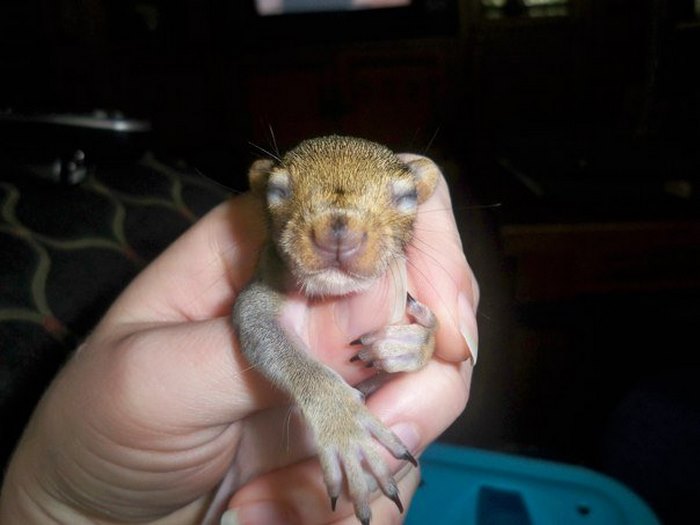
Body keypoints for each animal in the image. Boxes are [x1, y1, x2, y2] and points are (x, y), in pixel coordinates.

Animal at [232, 135, 440, 524]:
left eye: (407, 197)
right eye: (276, 190)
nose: (339, 233)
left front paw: (411, 344)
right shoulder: (254, 299)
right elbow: (273, 341)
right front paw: (345, 426)